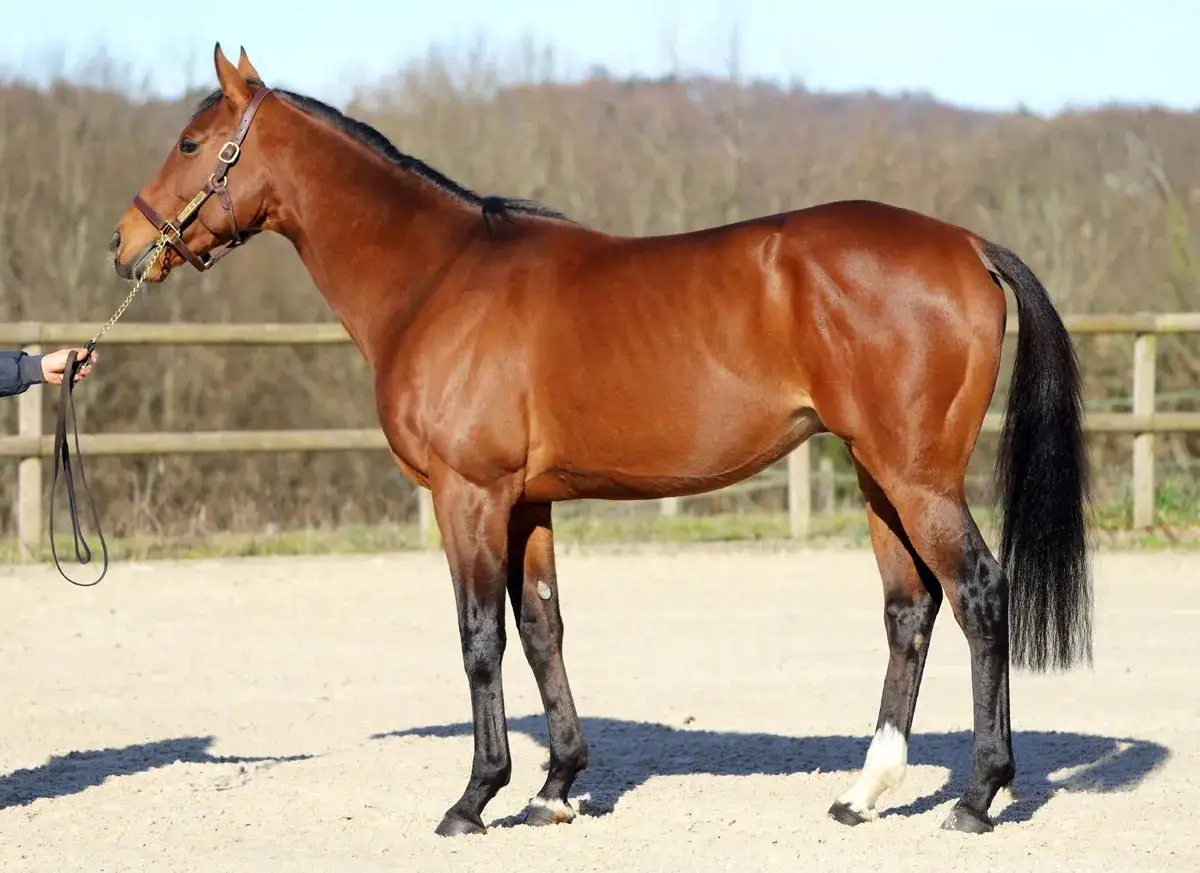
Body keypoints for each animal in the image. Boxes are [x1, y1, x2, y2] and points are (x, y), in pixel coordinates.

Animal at [109, 44, 1093, 838]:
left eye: (192, 143)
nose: (124, 244)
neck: (437, 279)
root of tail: (966, 244)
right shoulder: (527, 501)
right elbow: (542, 627)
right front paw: (556, 786)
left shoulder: (469, 495)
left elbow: (478, 636)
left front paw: (475, 796)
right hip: (876, 474)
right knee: (909, 609)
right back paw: (865, 792)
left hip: (916, 475)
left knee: (978, 593)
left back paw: (977, 796)